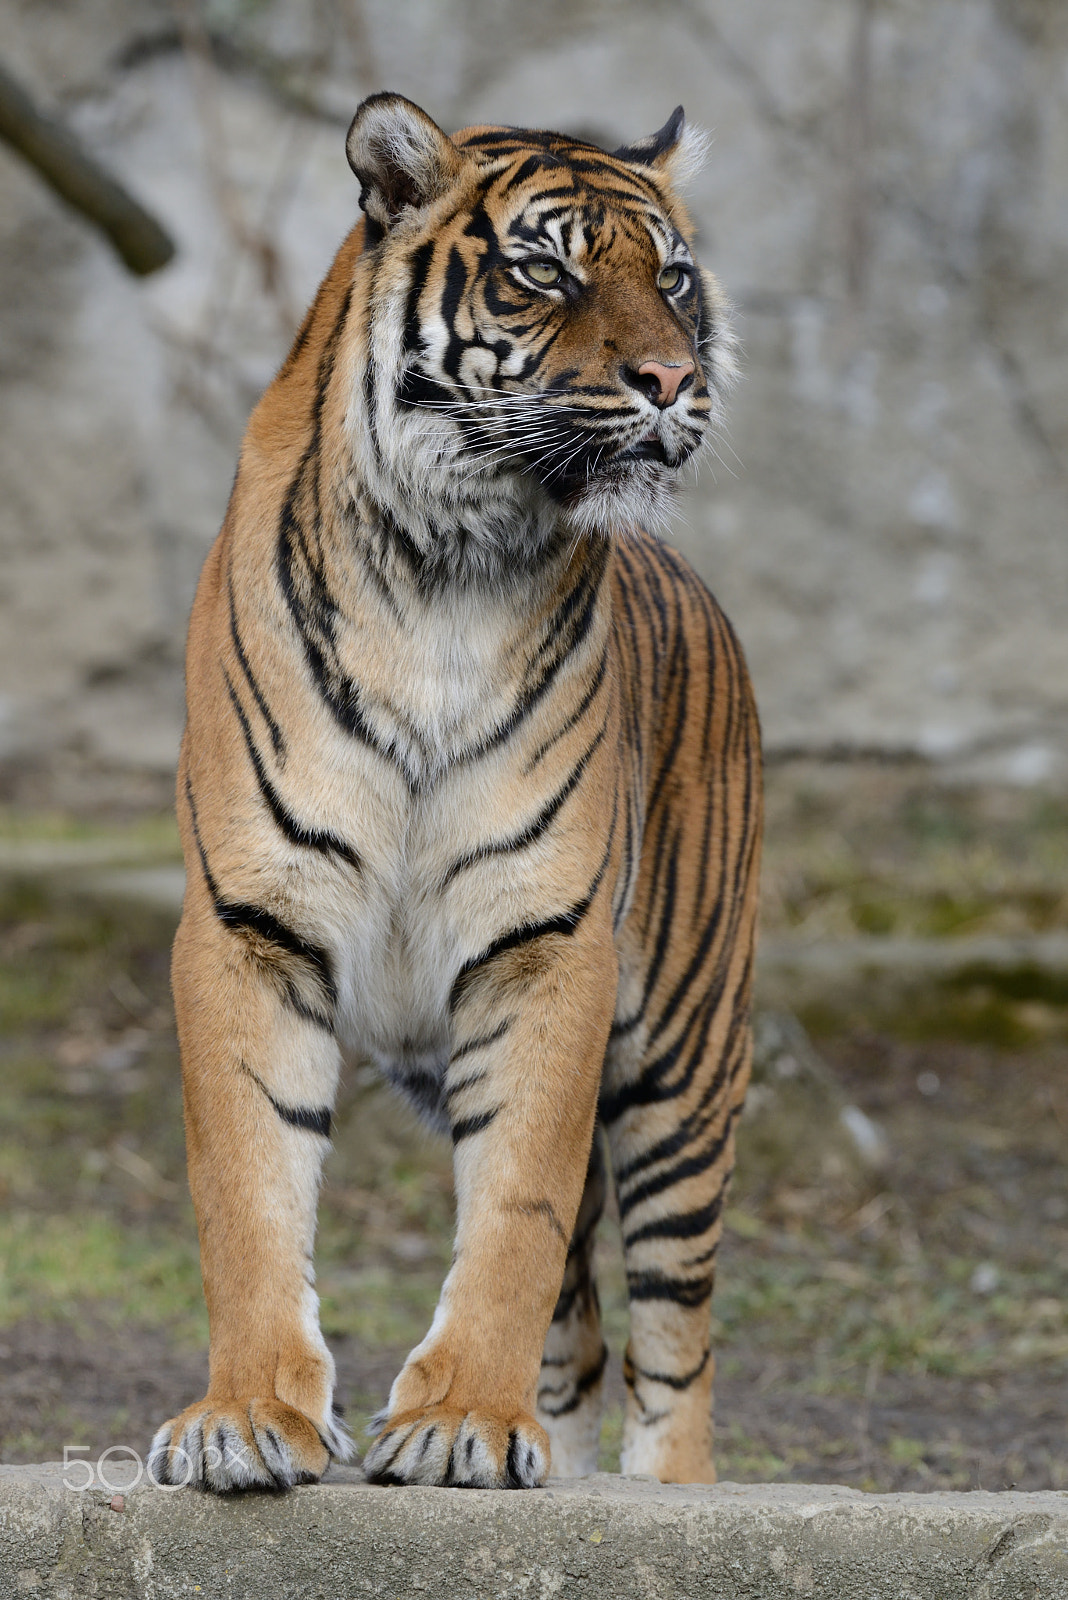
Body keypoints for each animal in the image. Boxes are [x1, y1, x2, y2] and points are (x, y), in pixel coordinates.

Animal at [148, 91, 761, 1494]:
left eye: (674, 278)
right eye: (548, 272)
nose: (674, 380)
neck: (449, 567)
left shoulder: (550, 947)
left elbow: (516, 1212)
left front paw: (466, 1421)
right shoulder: (247, 924)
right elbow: (249, 1188)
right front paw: (246, 1416)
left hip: (682, 1058)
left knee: (675, 1336)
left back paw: (663, 1487)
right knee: (584, 1334)